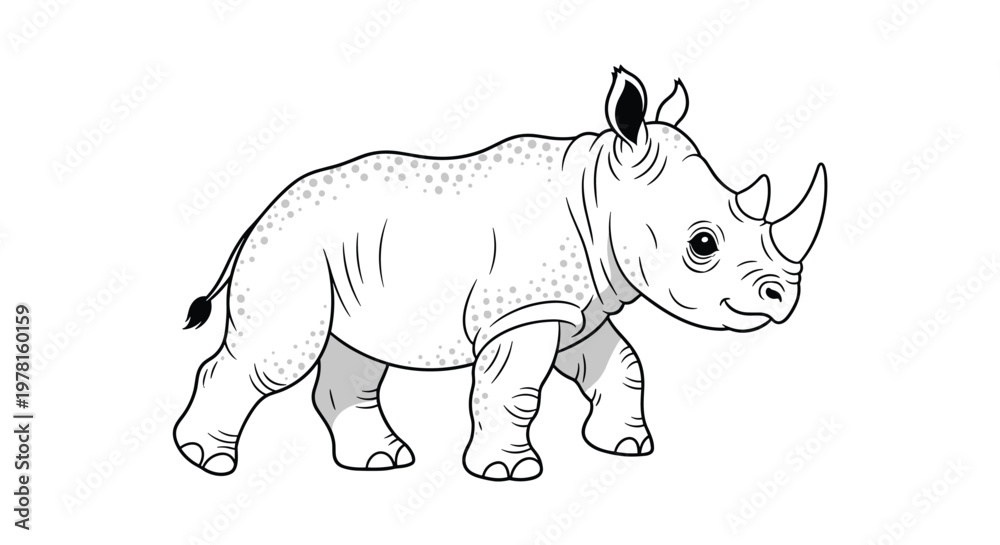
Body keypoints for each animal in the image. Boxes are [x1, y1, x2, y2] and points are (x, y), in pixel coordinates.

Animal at [174, 66, 827, 481]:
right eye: (702, 244)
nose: (783, 297)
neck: (598, 192)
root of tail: (263, 211)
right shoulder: (522, 311)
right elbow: (517, 389)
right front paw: (508, 472)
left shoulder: (576, 310)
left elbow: (623, 365)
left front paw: (624, 446)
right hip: (294, 248)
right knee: (278, 357)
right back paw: (207, 461)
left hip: (350, 255)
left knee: (355, 353)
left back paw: (382, 462)